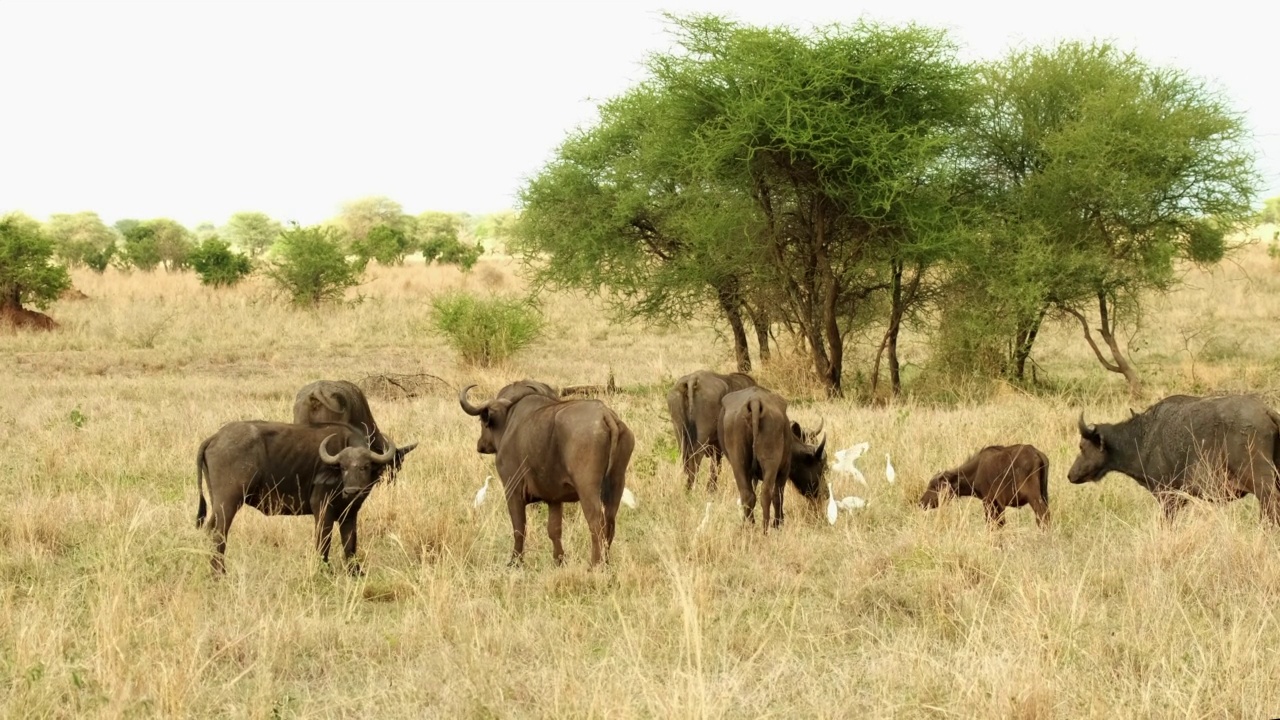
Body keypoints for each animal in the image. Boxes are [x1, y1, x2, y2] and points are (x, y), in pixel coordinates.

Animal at [194, 420, 399, 571]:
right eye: (343, 467)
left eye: (365, 466)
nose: (352, 491)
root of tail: (215, 437)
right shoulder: (322, 509)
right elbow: (324, 540)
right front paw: (324, 570)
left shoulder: (350, 513)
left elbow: (350, 543)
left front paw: (355, 572)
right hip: (229, 501)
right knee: (219, 532)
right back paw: (219, 573)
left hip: (216, 501)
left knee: (210, 529)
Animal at [463, 381, 637, 566]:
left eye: (482, 420)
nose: (480, 445)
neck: (510, 420)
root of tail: (605, 414)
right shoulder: (554, 499)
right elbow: (554, 530)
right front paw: (559, 560)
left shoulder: (512, 490)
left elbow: (519, 528)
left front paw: (515, 561)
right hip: (617, 484)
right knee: (610, 523)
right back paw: (606, 563)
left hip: (587, 488)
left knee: (596, 523)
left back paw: (594, 564)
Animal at [716, 384, 824, 530]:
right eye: (821, 467)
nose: (824, 494)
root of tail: (755, 401)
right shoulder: (784, 470)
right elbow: (778, 495)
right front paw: (778, 522)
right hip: (771, 463)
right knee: (767, 493)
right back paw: (765, 528)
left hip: (738, 462)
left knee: (747, 494)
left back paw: (749, 527)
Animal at [921, 440, 1049, 525]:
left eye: (934, 487)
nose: (921, 502)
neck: (977, 470)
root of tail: (1037, 454)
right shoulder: (998, 505)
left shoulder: (989, 501)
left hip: (1034, 497)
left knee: (1042, 514)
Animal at [1070, 392, 1280, 520]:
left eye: (1081, 446)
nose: (1070, 474)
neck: (1142, 437)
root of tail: (1267, 411)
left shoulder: (1169, 496)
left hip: (1261, 483)